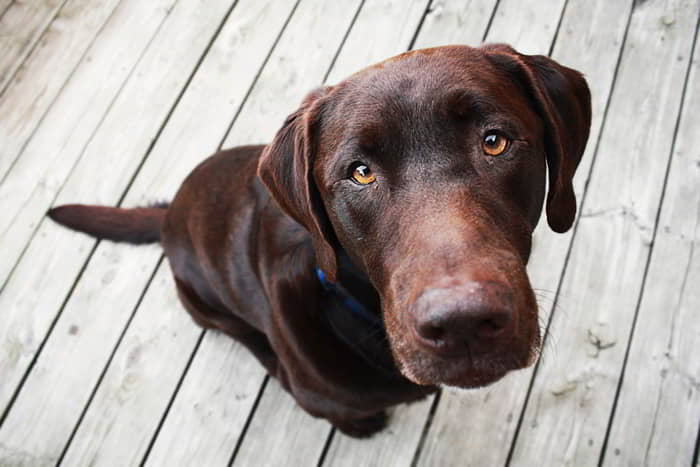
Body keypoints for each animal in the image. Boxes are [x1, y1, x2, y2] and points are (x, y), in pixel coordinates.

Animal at [46, 44, 588, 438]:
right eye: (360, 173)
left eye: (494, 141)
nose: (463, 324)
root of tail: (168, 212)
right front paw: (361, 425)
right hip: (204, 304)